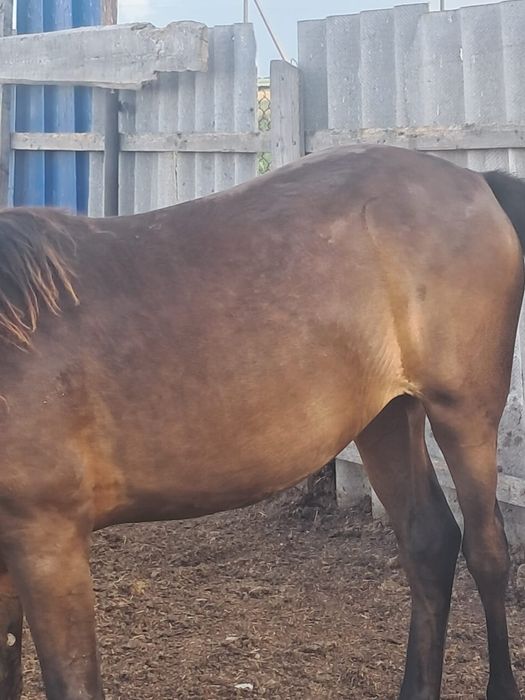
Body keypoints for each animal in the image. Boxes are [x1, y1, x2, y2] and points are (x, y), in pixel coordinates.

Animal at [0, 144, 523, 700]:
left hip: (464, 415)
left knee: (488, 553)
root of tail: (476, 181)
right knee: (430, 545)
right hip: (387, 417)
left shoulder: (49, 544)